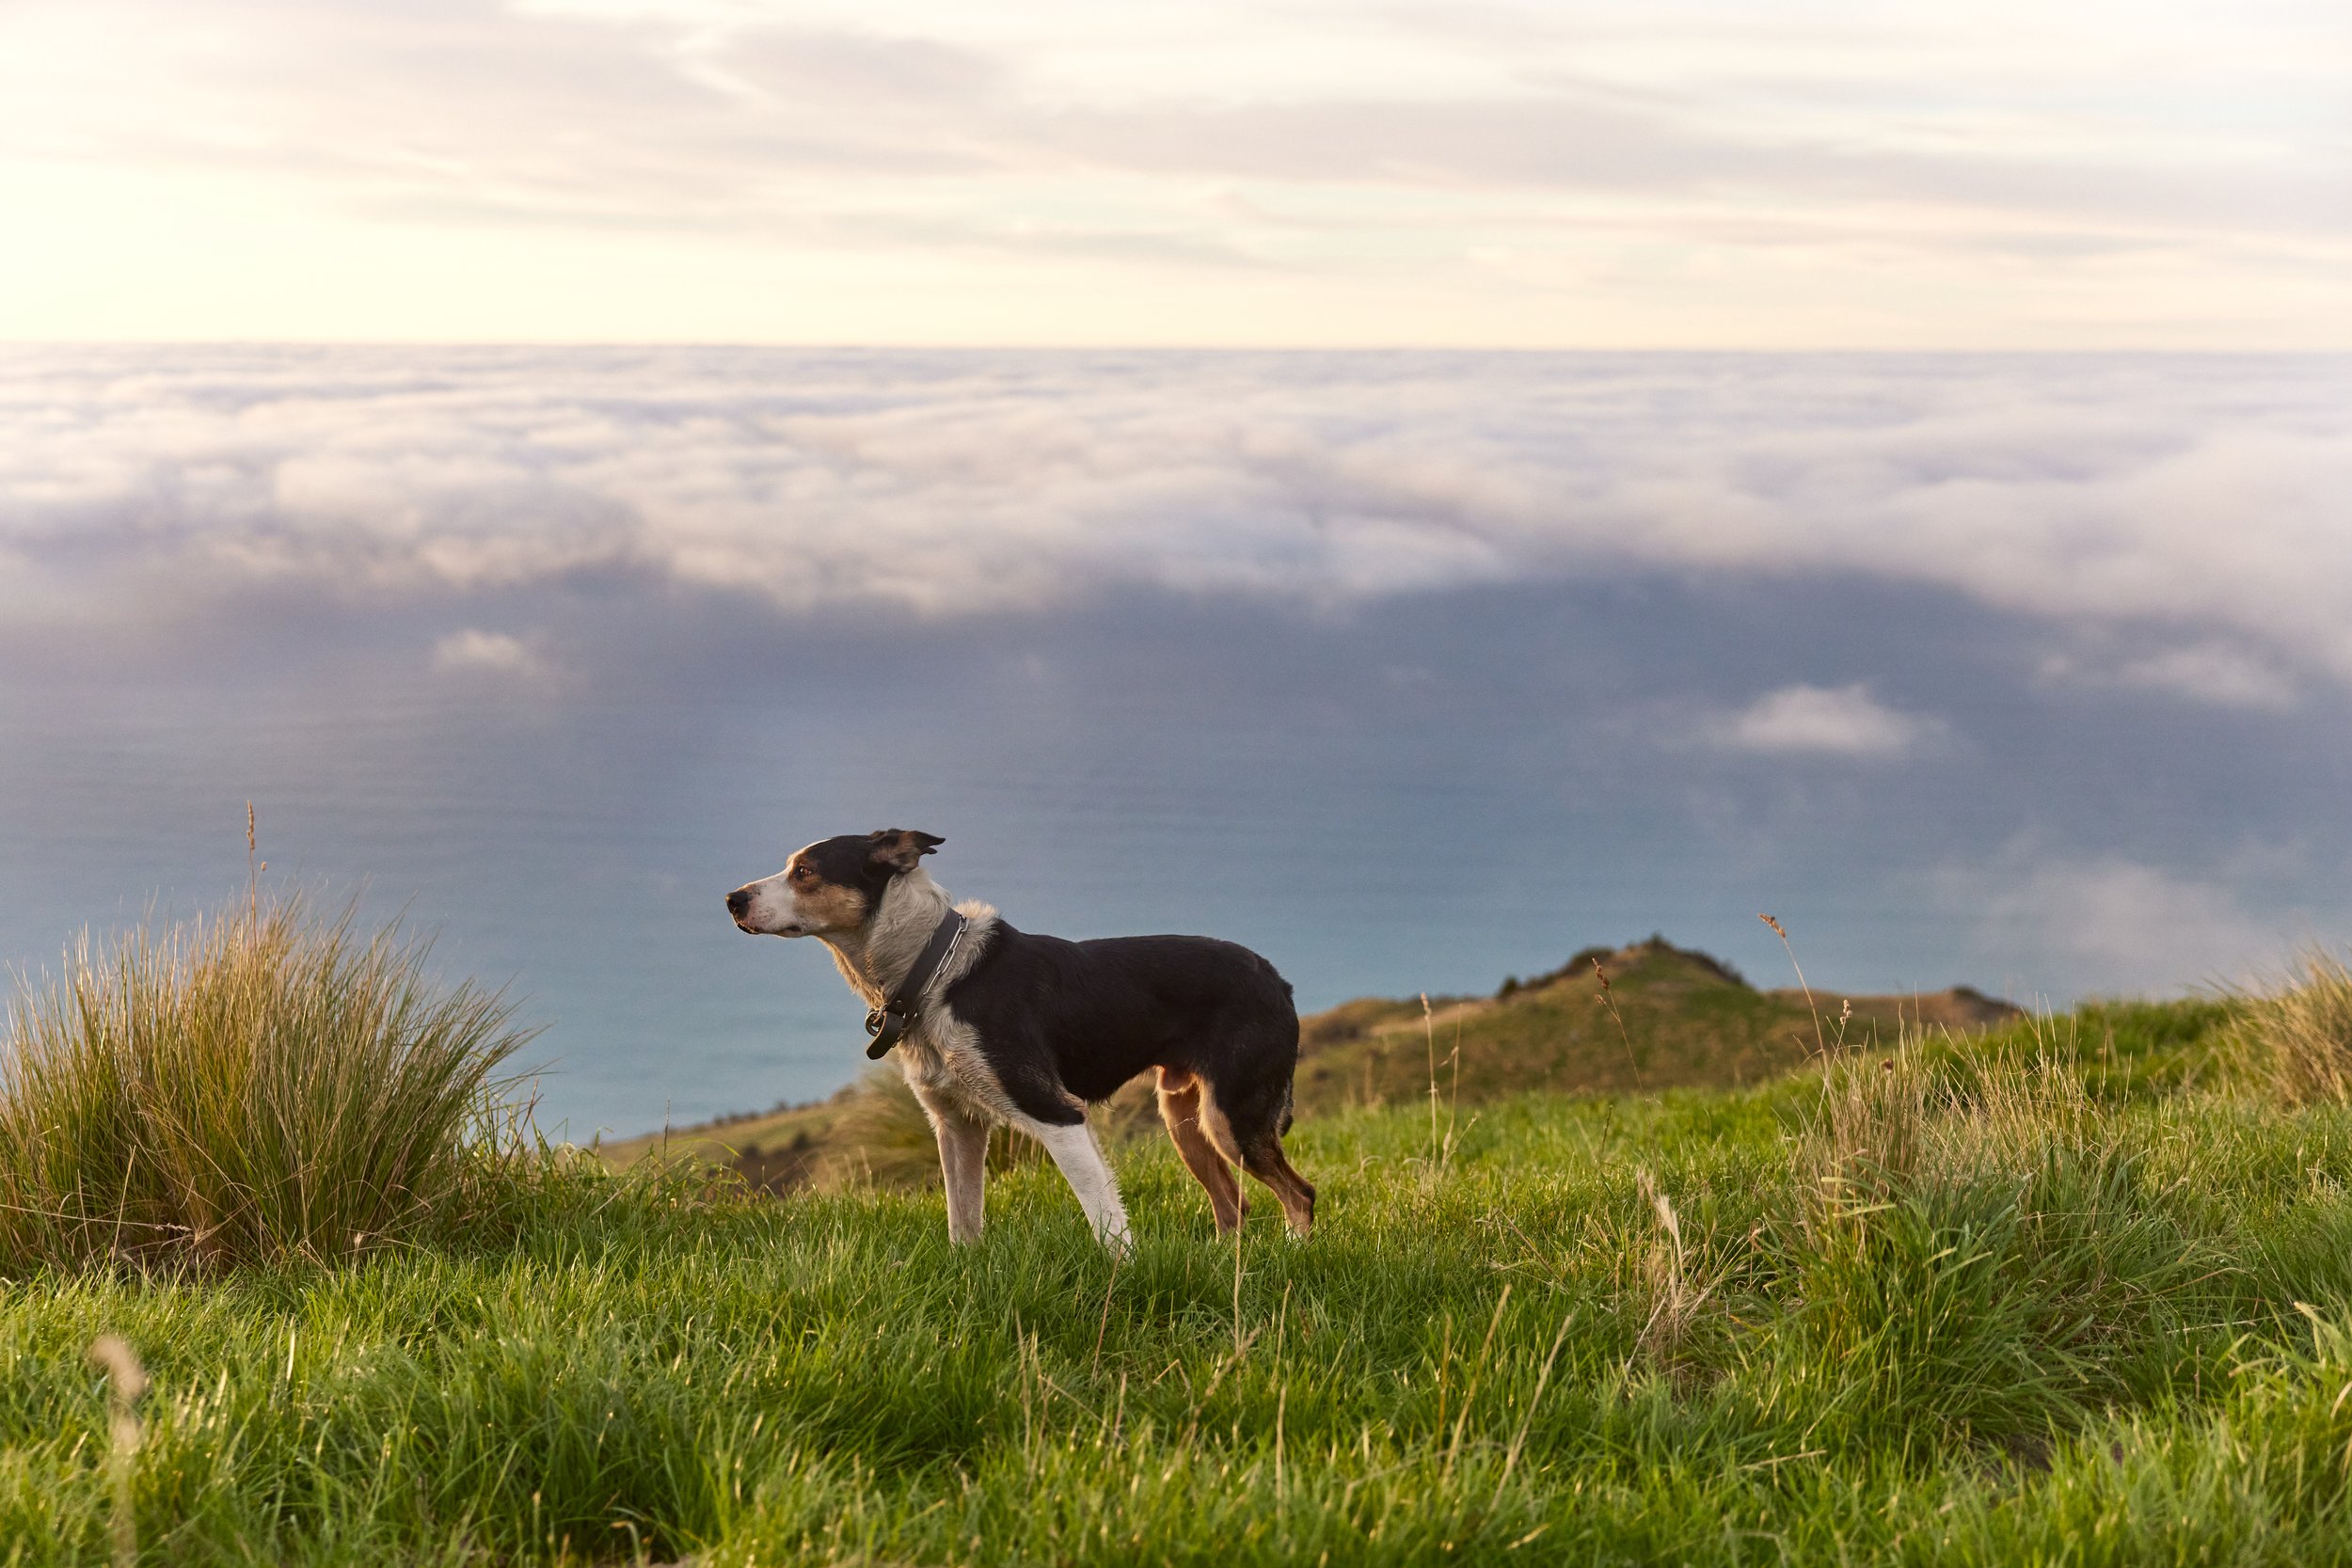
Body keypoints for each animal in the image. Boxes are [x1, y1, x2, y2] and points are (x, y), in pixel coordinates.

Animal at [724, 832, 1317, 1250]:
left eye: (805, 872)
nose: (732, 898)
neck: (935, 970)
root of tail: (1279, 981)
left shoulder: (1057, 1112)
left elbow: (1107, 1223)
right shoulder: (956, 1126)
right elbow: (962, 1222)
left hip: (1231, 1118)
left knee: (1300, 1195)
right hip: (1184, 1118)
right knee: (1234, 1205)